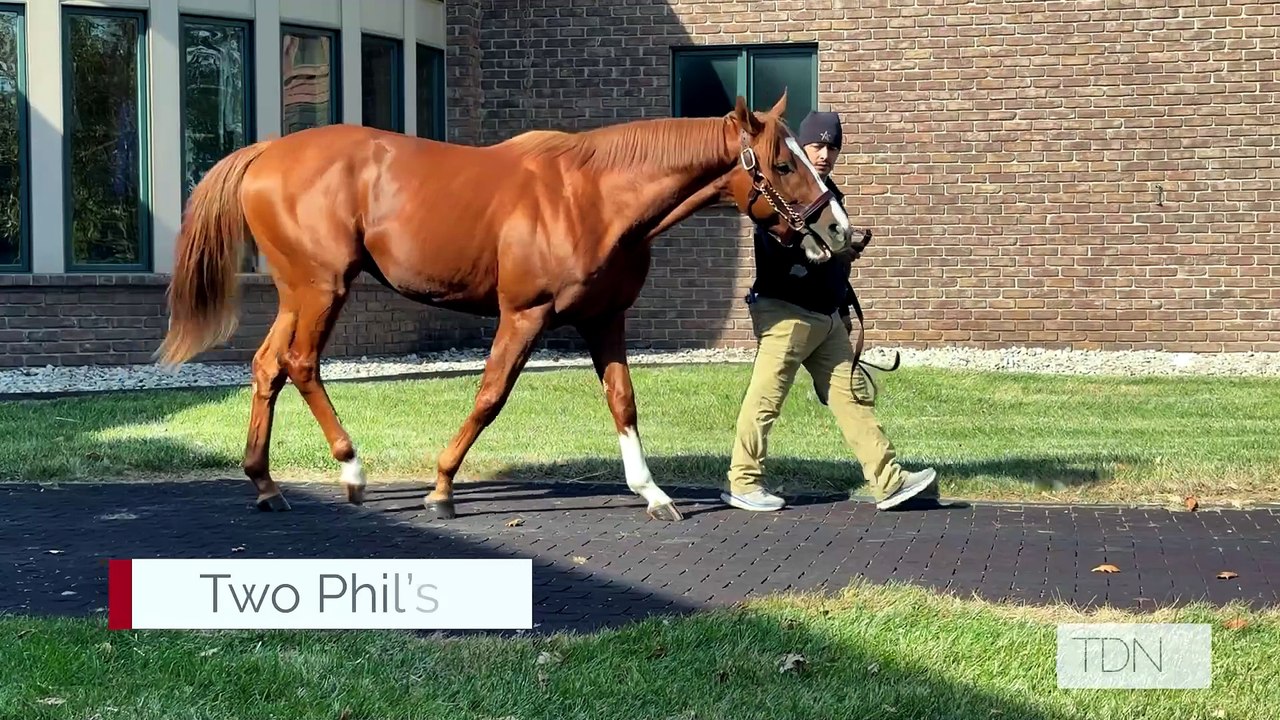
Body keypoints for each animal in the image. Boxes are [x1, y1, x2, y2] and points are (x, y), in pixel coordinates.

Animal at [155, 92, 856, 522]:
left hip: (297, 293)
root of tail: (266, 153)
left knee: (267, 366)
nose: (843, 232)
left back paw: (265, 482)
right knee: (301, 364)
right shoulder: (525, 314)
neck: (594, 196)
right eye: (782, 165)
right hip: (323, 288)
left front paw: (652, 492)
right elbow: (490, 395)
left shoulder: (605, 320)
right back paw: (351, 470)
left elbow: (623, 401)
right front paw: (441, 489)